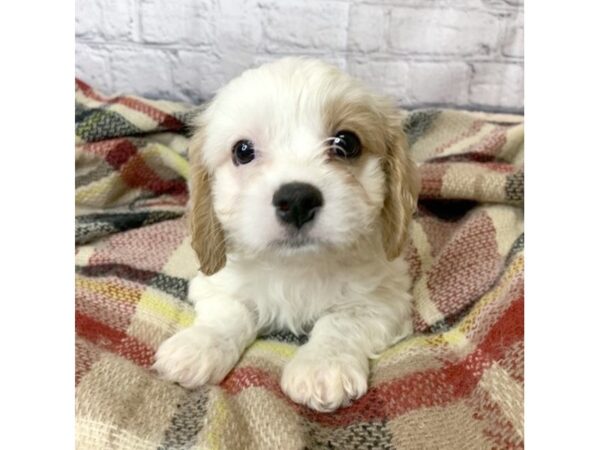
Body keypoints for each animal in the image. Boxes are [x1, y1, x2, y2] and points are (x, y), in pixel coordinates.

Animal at [152, 58, 420, 414]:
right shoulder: (215, 283)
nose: (297, 200)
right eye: (243, 151)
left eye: (346, 143)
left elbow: (341, 323)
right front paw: (198, 345)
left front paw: (322, 365)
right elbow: (229, 312)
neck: (295, 265)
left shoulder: (382, 299)